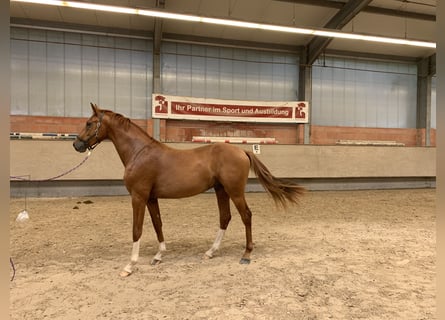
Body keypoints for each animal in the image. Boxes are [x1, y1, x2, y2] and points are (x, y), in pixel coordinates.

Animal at [73, 104, 306, 276]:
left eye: (89, 123)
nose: (77, 145)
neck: (139, 152)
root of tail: (242, 150)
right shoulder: (151, 198)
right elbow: (157, 224)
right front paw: (158, 256)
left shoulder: (138, 197)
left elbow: (136, 229)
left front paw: (130, 266)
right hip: (221, 190)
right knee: (225, 217)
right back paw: (210, 252)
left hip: (234, 191)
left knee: (246, 216)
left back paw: (246, 254)